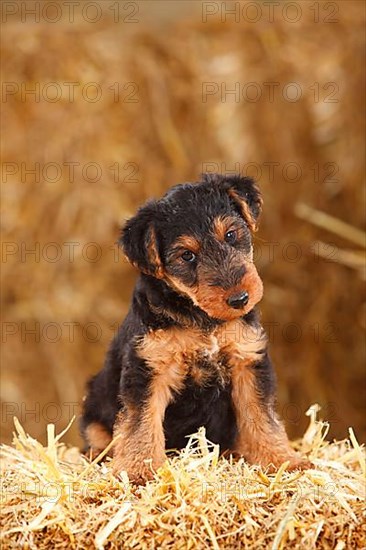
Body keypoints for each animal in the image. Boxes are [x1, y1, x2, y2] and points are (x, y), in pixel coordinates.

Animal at [81, 175, 312, 486]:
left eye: (230, 234)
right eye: (187, 255)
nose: (240, 299)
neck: (204, 319)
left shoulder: (247, 361)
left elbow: (262, 417)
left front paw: (282, 460)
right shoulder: (149, 367)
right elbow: (140, 424)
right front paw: (139, 471)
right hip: (95, 402)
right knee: (97, 436)